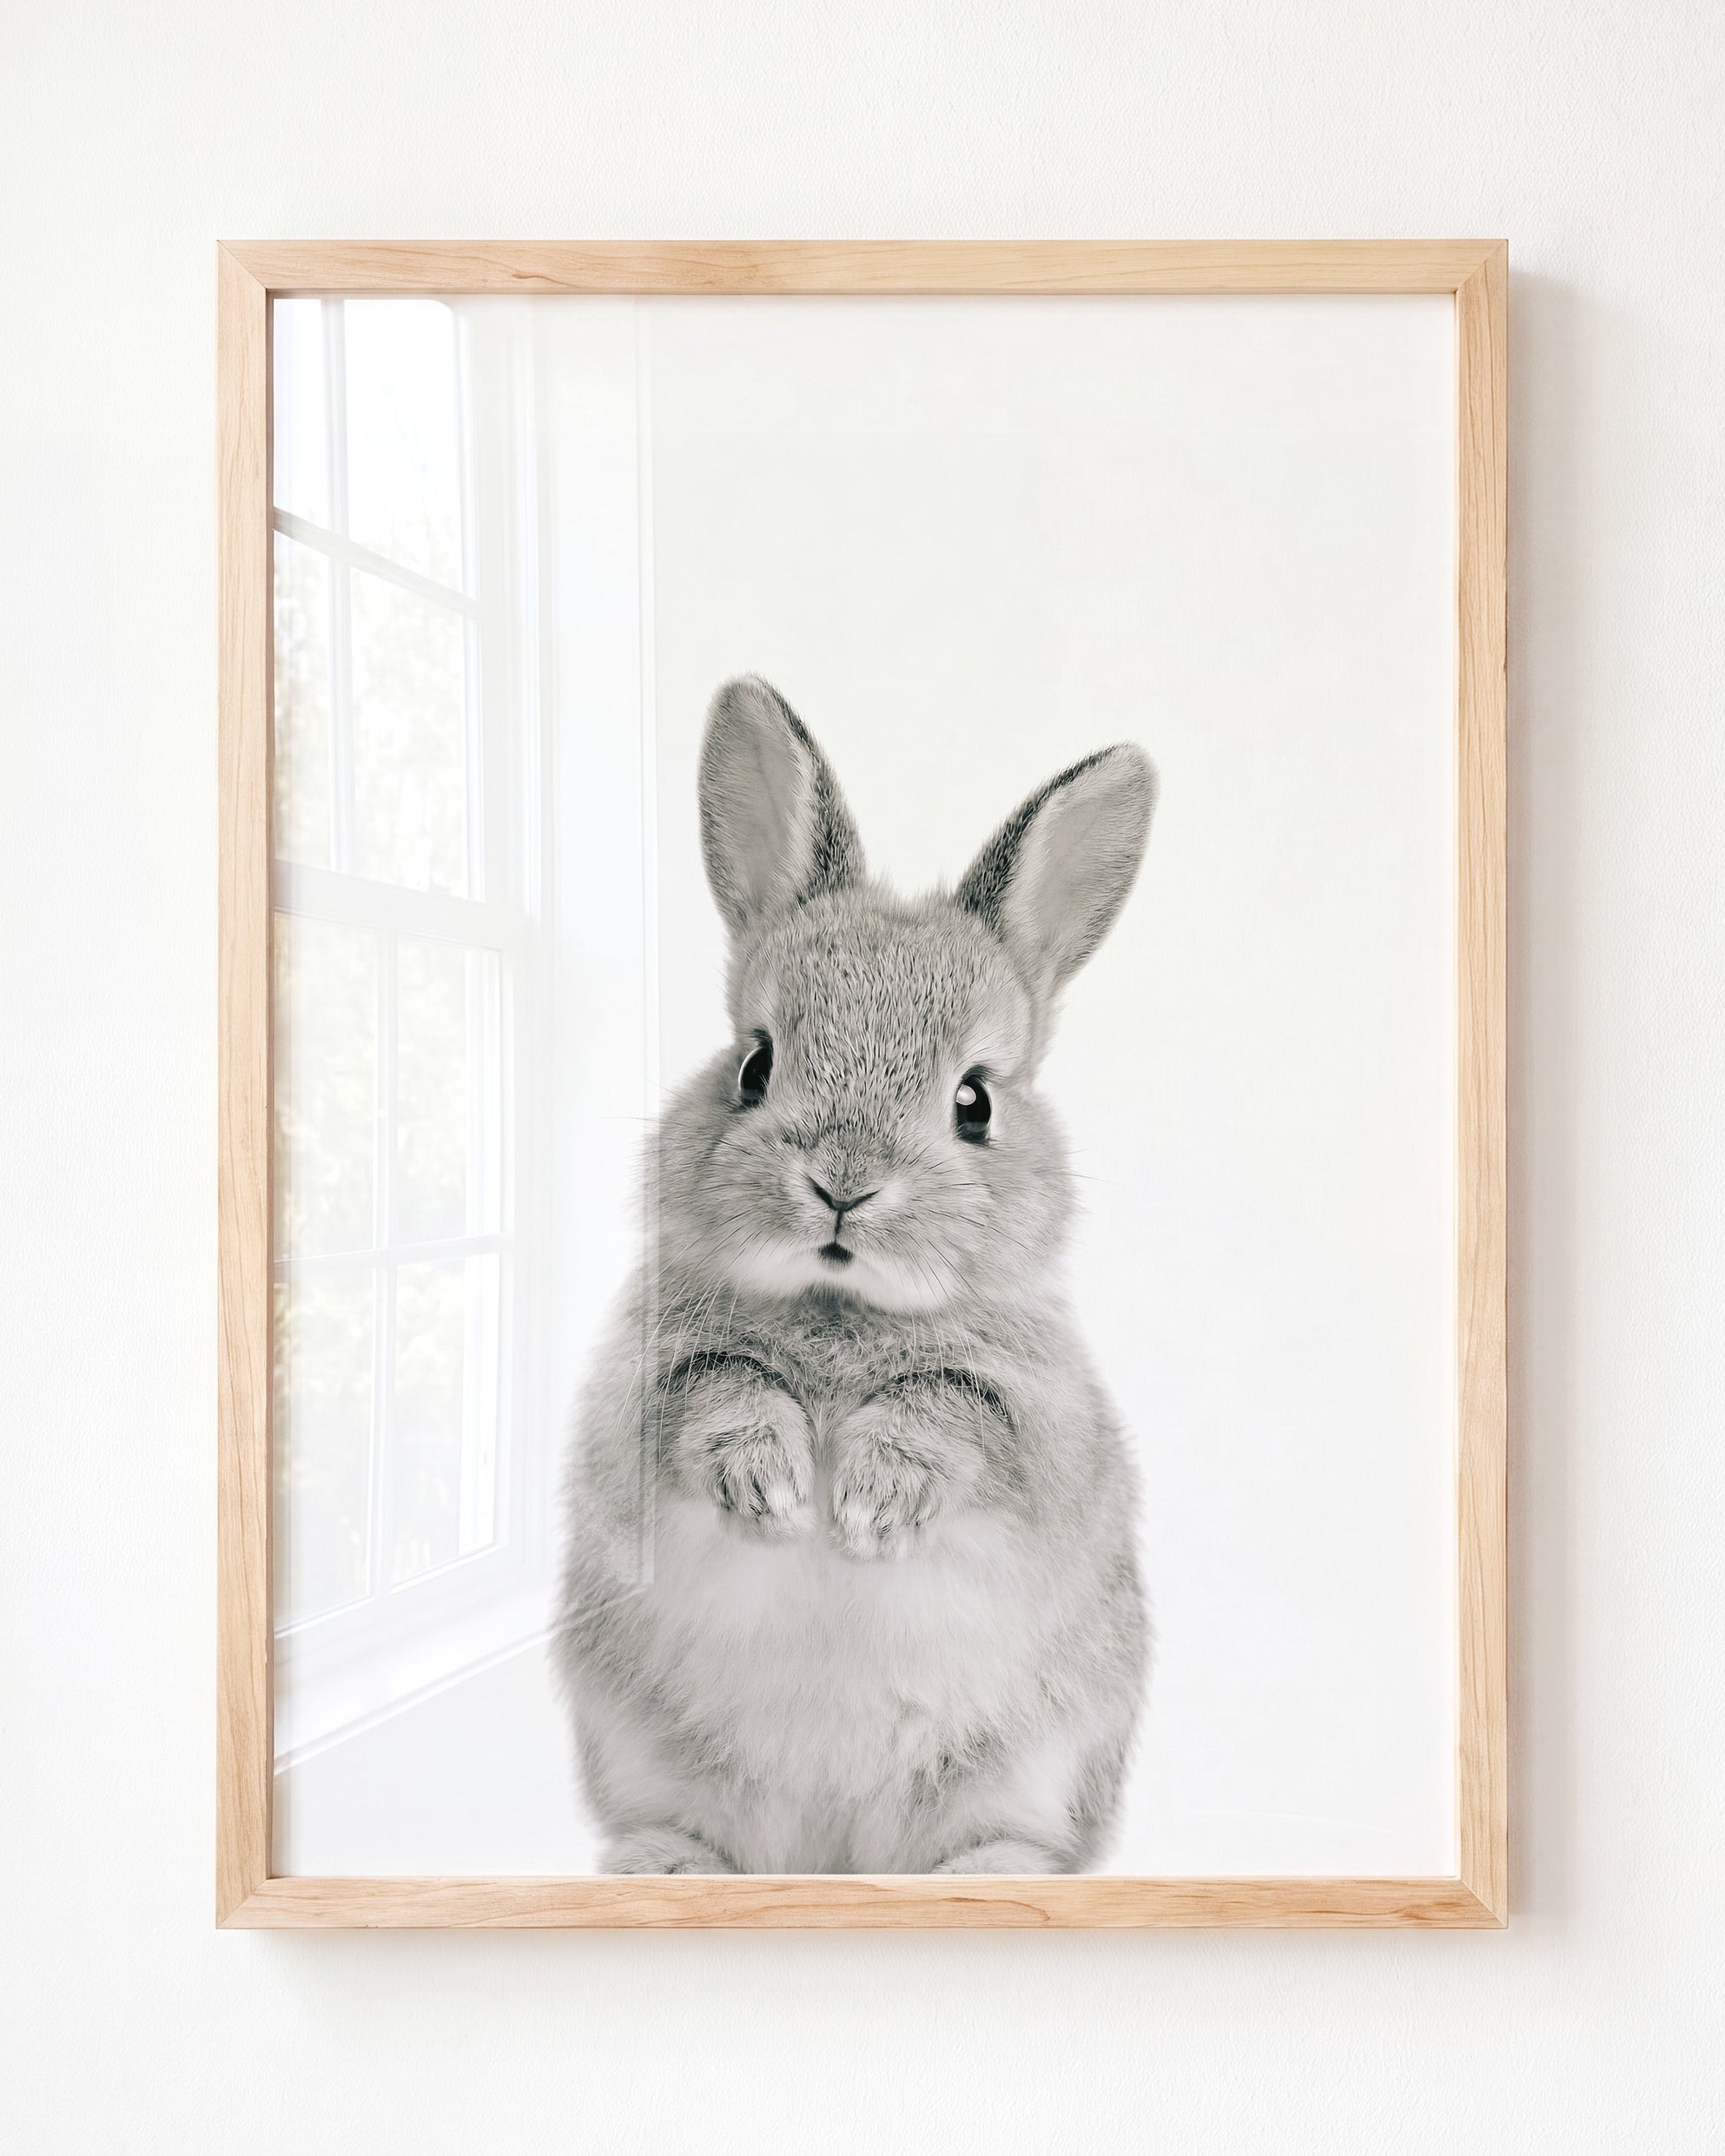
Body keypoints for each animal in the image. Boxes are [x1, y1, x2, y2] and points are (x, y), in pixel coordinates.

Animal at [554, 675, 1155, 1875]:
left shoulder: (1039, 1426)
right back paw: (668, 1867)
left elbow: (951, 1411)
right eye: (754, 1063)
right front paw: (775, 1486)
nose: (843, 1185)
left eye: (975, 1100)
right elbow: (717, 1390)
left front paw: (870, 1500)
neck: (841, 1307)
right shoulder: (643, 1393)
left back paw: (992, 1881)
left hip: (1032, 1768)